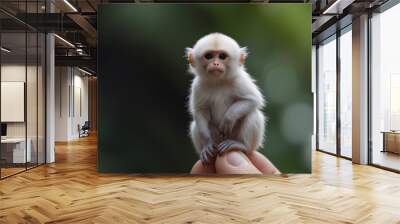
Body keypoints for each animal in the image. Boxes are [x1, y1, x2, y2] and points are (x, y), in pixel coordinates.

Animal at [187, 32, 266, 164]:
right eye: (209, 56)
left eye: (222, 56)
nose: (215, 64)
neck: (219, 82)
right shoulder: (198, 85)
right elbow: (200, 110)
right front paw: (207, 142)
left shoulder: (239, 80)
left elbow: (252, 100)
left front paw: (229, 118)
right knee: (195, 125)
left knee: (253, 114)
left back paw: (241, 145)